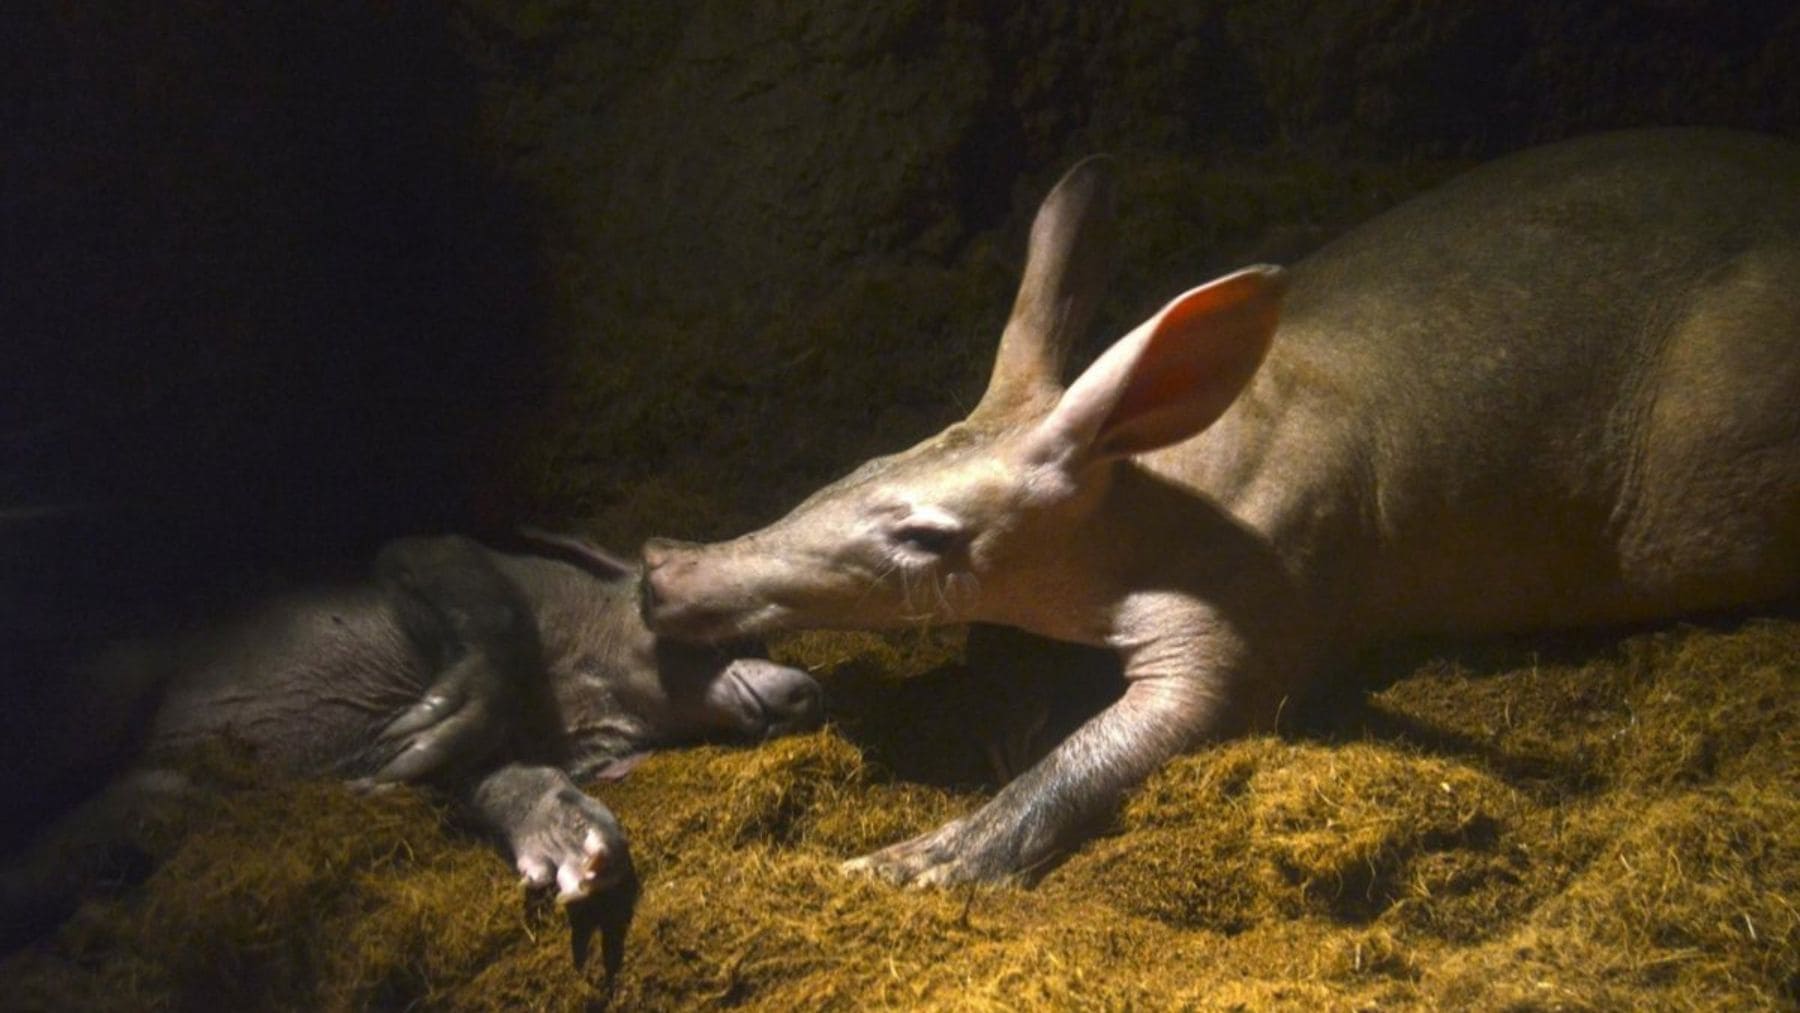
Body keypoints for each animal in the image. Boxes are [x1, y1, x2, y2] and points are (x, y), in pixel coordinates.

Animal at [3, 530, 823, 960]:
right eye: (739, 629)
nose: (808, 688)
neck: (588, 691)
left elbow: (477, 778)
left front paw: (582, 862)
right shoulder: (448, 560)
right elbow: (467, 587)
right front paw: (415, 731)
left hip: (161, 794)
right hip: (114, 681)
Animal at [640, 128, 1800, 885]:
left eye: (923, 536)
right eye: (855, 466)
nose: (658, 573)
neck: (1157, 478)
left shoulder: (1263, 596)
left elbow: (1161, 723)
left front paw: (915, 860)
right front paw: (996, 723)